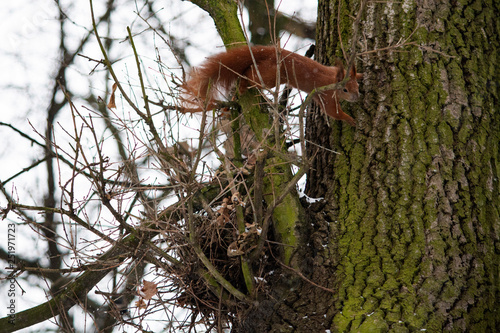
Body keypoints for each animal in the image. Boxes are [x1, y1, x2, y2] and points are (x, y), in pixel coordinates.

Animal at [182, 45, 362, 126]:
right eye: (345, 90)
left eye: (357, 87)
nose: (357, 97)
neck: (332, 80)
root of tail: (270, 51)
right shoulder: (325, 96)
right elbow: (333, 112)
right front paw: (350, 119)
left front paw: (361, 73)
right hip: (270, 76)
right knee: (249, 75)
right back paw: (242, 86)